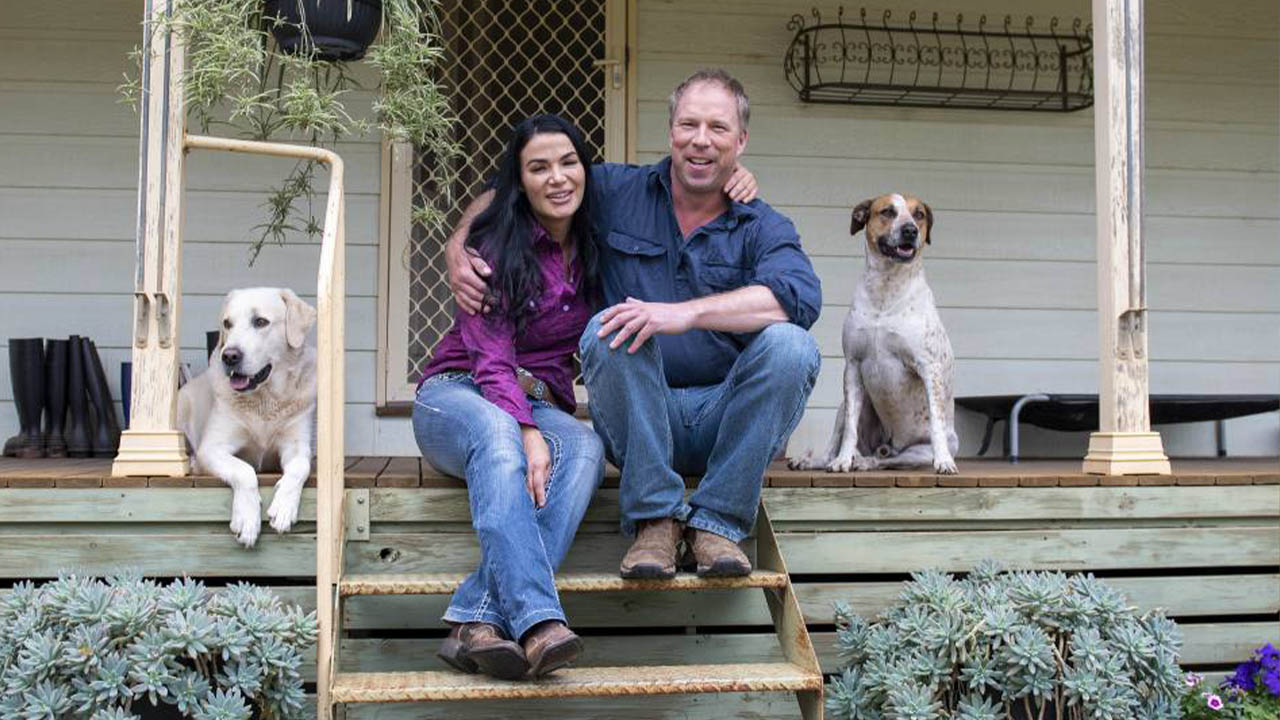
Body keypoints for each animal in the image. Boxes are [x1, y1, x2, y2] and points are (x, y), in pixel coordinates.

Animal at [179, 285, 318, 543]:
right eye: (227, 324)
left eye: (260, 321)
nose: (229, 356)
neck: (265, 400)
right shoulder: (212, 448)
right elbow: (244, 470)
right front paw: (247, 520)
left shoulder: (298, 446)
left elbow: (300, 468)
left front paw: (284, 508)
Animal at [788, 193, 962, 474]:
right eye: (888, 212)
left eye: (919, 214)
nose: (910, 230)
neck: (886, 288)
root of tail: (887, 445)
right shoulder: (853, 365)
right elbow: (849, 431)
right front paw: (842, 461)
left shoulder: (928, 367)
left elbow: (936, 421)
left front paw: (944, 461)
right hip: (843, 406)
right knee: (839, 446)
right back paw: (817, 461)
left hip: (916, 453)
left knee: (886, 461)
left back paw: (865, 461)